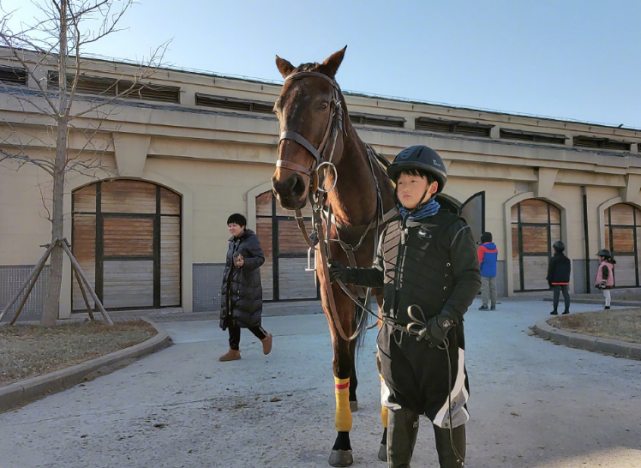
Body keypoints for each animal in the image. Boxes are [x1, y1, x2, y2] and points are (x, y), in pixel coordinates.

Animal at [271, 47, 397, 466]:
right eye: (277, 108)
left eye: (324, 105)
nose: (287, 185)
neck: (356, 214)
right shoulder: (333, 292)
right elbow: (340, 358)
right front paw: (342, 440)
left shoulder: (387, 292)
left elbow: (384, 359)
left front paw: (388, 435)